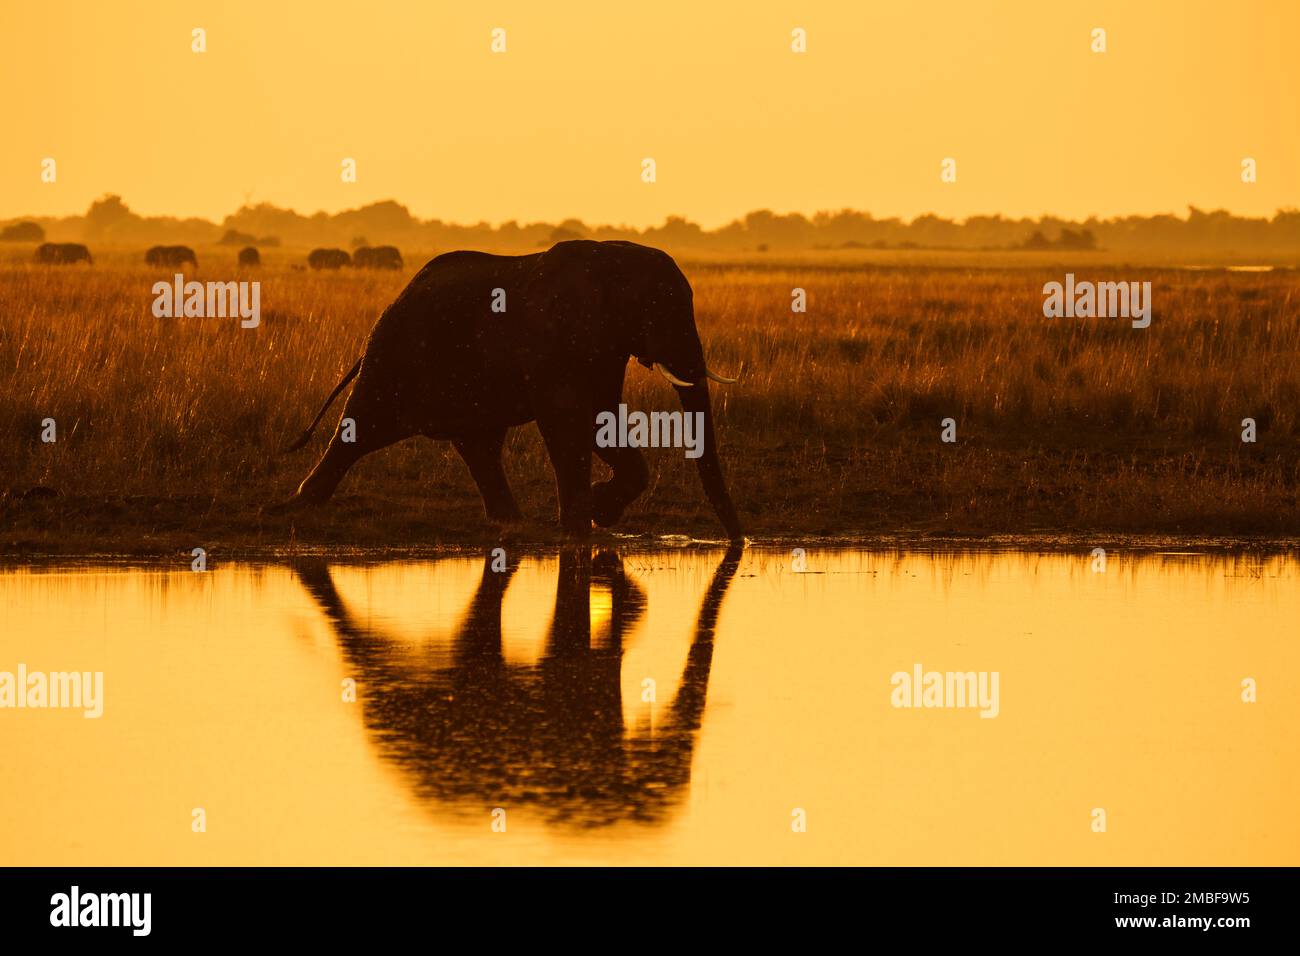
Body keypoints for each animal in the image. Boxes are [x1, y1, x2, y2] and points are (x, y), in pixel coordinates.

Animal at [279, 238, 743, 538]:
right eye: (657, 307)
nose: (739, 542)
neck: (613, 259)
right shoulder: (554, 337)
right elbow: (567, 419)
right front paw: (581, 527)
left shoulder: (603, 347)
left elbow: (601, 418)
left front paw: (597, 514)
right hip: (393, 355)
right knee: (363, 428)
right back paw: (300, 505)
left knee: (480, 445)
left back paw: (511, 523)